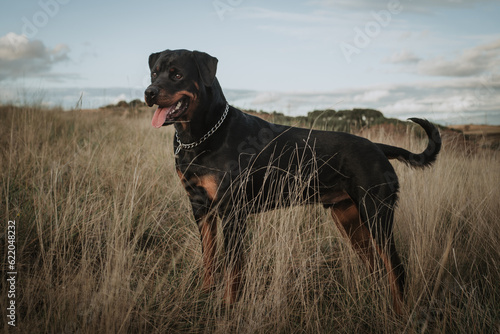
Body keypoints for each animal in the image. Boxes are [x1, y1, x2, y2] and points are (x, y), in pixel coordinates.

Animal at [145, 48, 442, 314]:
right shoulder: (200, 208)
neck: (201, 135)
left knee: (396, 268)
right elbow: (209, 258)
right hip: (349, 220)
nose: (149, 92)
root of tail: (379, 147)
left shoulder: (233, 212)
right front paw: (205, 295)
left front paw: (228, 307)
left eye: (177, 74)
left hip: (376, 215)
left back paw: (399, 314)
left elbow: (233, 268)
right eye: (154, 73)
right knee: (378, 266)